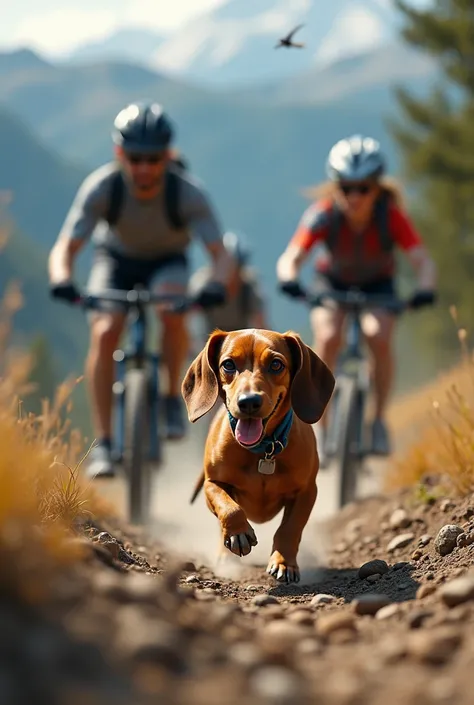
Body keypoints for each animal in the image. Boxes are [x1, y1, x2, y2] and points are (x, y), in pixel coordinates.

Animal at [181, 330, 334, 584]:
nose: (249, 402)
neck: (263, 449)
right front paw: (239, 533)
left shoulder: (306, 491)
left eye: (276, 364)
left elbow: (290, 529)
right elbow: (229, 508)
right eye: (228, 364)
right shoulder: (212, 484)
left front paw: (284, 563)